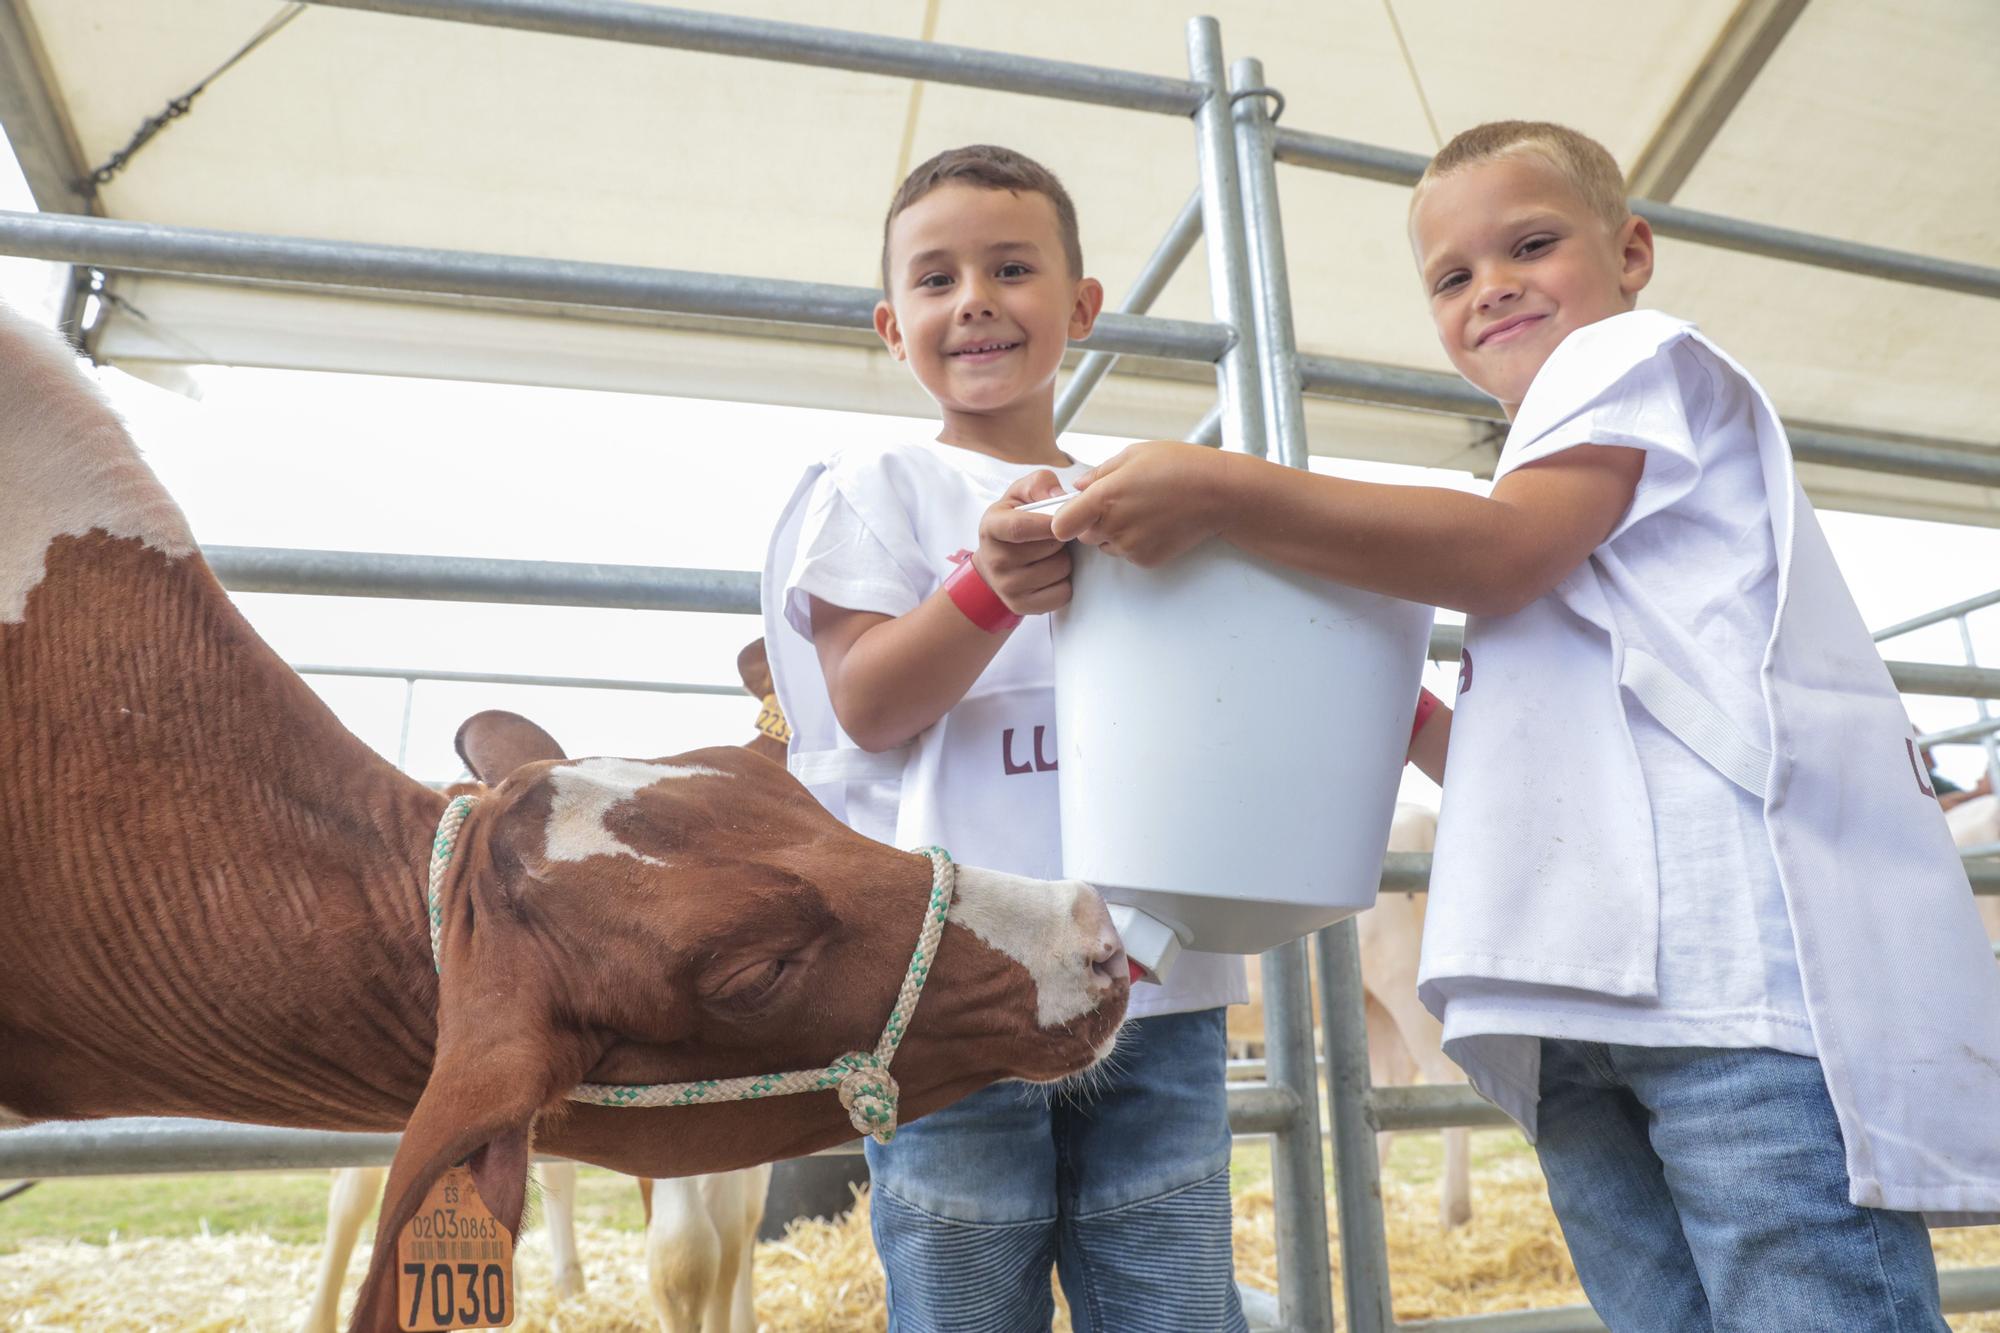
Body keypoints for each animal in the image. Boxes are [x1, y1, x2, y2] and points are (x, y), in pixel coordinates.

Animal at [0, 300, 1128, 1328]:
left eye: (786, 789)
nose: (1094, 930)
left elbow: (726, 1239)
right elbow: (682, 1254)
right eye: (752, 971)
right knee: (359, 1188)